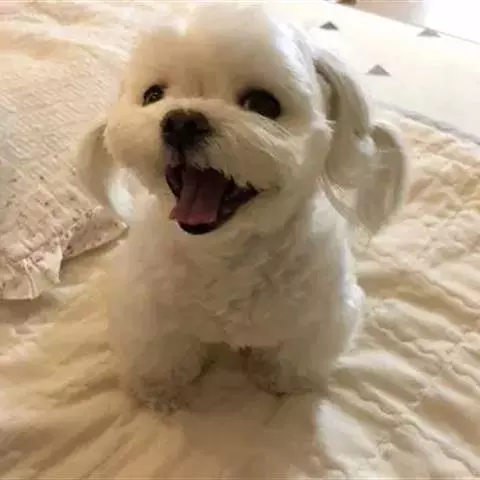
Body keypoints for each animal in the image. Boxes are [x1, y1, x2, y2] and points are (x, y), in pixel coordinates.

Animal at [76, 4, 408, 410]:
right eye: (153, 95)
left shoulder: (320, 313)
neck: (225, 251)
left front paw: (281, 378)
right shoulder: (146, 307)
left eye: (263, 104)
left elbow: (295, 351)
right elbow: (160, 351)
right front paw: (159, 388)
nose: (182, 121)